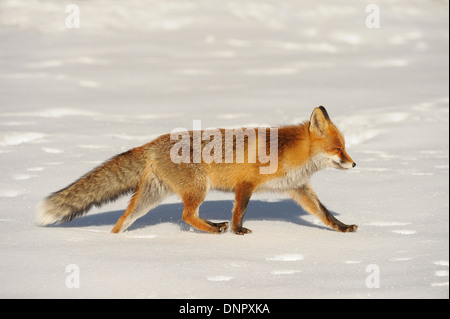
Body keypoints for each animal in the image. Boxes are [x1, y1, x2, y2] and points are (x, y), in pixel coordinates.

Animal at [36, 107, 358, 235]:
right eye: (337, 148)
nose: (355, 164)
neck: (291, 153)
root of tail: (153, 142)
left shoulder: (297, 187)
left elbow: (324, 214)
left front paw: (343, 228)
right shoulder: (246, 183)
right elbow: (239, 211)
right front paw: (238, 231)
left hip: (151, 196)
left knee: (123, 219)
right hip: (198, 187)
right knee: (186, 215)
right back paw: (215, 228)